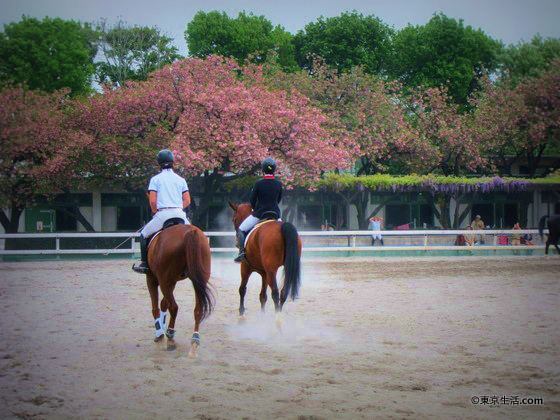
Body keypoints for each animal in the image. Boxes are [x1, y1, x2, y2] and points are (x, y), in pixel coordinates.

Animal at [144, 223, 214, 358]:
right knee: (198, 310)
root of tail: (191, 231)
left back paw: (170, 337)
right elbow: (163, 303)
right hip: (198, 280)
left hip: (164, 280)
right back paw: (194, 342)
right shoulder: (172, 282)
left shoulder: (152, 279)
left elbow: (156, 307)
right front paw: (161, 328)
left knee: (174, 307)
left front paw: (159, 335)